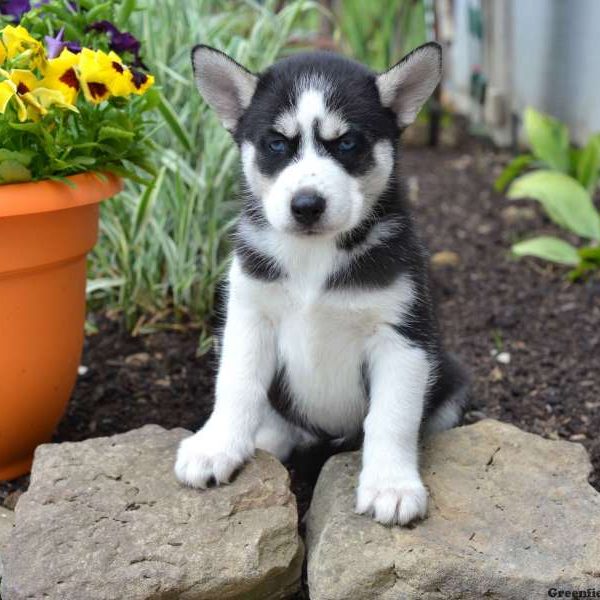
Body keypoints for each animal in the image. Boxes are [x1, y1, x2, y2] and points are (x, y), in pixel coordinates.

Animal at [173, 42, 468, 524]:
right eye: (277, 143)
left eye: (346, 143)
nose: (307, 205)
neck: (314, 257)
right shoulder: (249, 316)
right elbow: (236, 384)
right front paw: (216, 445)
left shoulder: (402, 337)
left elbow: (392, 417)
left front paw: (391, 485)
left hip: (453, 376)